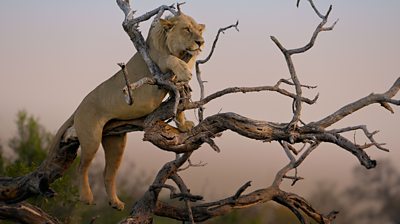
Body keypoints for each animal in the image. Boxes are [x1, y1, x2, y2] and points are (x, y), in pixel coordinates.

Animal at [50, 11, 205, 210]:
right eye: (187, 29)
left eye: (199, 30)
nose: (201, 42)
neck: (179, 51)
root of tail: (80, 105)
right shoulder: (157, 63)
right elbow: (170, 60)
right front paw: (185, 70)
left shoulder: (175, 85)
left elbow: (179, 106)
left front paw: (184, 126)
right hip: (91, 137)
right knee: (81, 166)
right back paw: (86, 197)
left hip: (116, 142)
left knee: (108, 174)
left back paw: (115, 203)